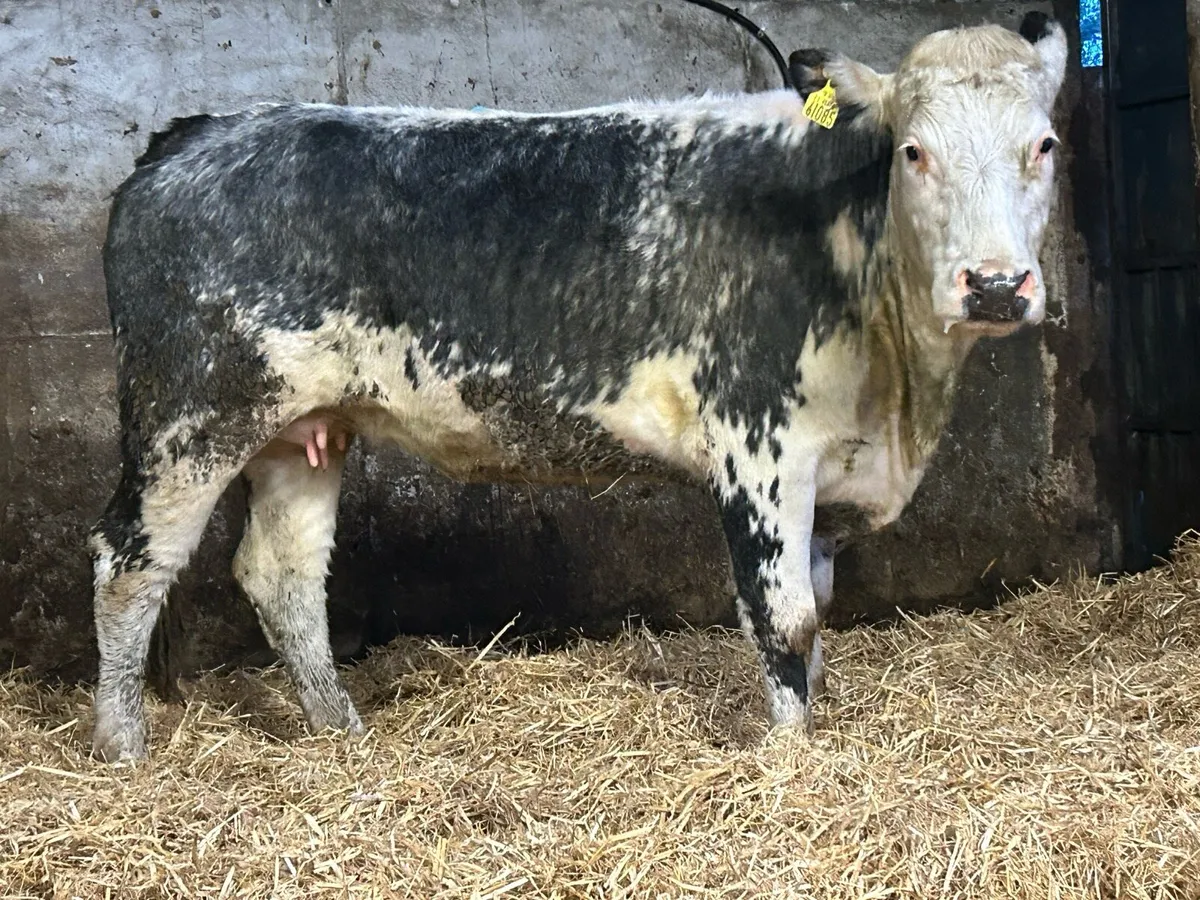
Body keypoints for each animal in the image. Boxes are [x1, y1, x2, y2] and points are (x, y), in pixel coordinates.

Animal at [88, 13, 1068, 761]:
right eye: (913, 152)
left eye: (1046, 145)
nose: (993, 285)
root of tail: (198, 133)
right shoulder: (759, 446)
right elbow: (784, 619)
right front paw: (791, 761)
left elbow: (816, 617)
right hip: (188, 413)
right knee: (128, 565)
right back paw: (124, 750)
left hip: (303, 425)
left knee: (282, 573)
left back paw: (343, 735)